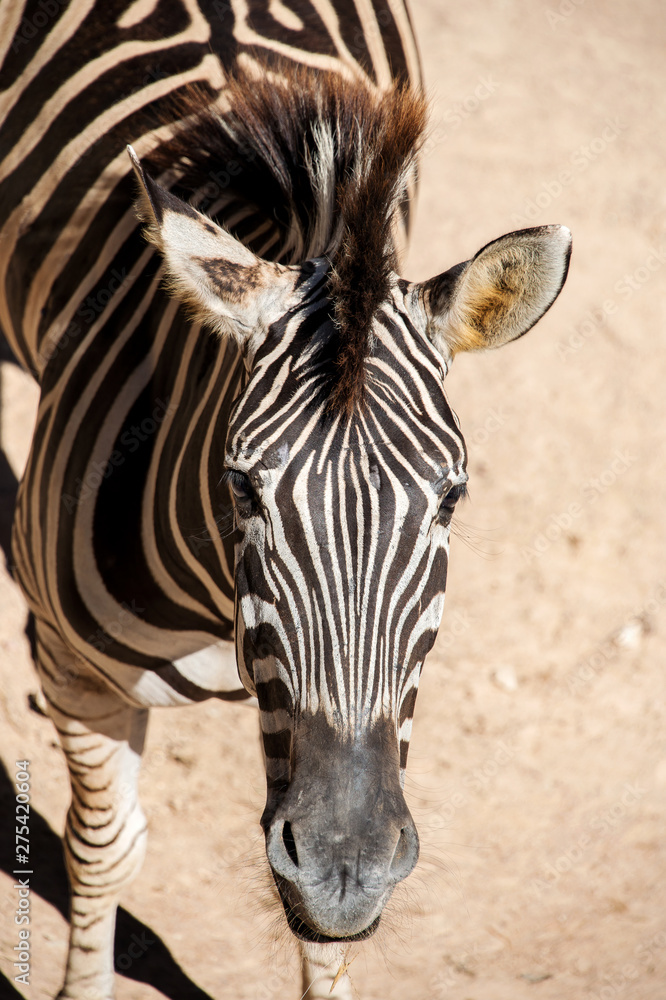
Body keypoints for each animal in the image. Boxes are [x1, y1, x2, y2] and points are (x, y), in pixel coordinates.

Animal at [0, 1, 572, 998]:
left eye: (452, 499)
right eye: (241, 485)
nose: (347, 867)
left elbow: (321, 942)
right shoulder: (73, 674)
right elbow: (103, 851)